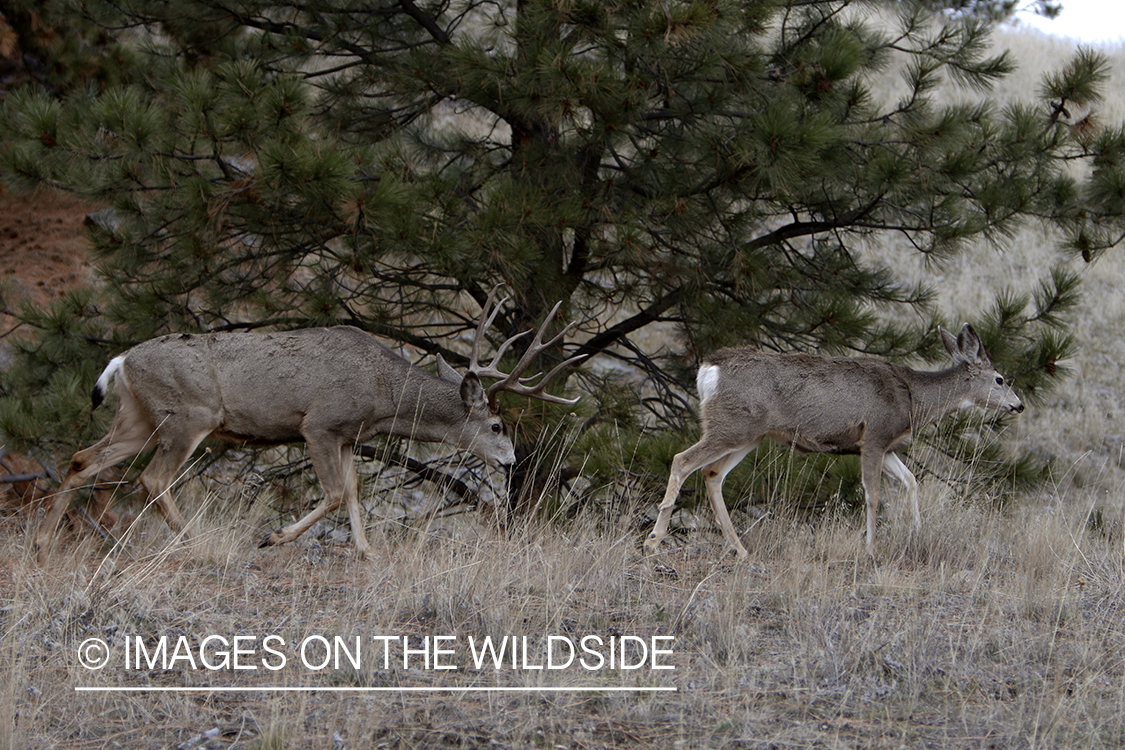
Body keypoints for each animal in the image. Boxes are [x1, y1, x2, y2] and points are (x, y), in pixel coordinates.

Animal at [35, 292, 585, 562]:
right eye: (495, 425)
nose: (510, 461)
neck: (383, 393)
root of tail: (123, 359)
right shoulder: (319, 423)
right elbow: (337, 493)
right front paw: (274, 538)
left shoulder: (347, 436)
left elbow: (354, 490)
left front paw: (367, 550)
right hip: (189, 415)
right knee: (152, 479)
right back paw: (196, 542)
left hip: (139, 416)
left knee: (82, 460)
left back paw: (44, 542)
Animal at [648, 326, 1026, 559]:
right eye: (1000, 379)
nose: (1019, 405)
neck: (911, 398)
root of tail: (708, 369)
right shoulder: (874, 436)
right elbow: (873, 494)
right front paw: (871, 548)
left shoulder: (885, 445)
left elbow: (911, 481)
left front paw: (917, 534)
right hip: (731, 426)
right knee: (682, 460)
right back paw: (655, 539)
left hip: (749, 435)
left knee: (712, 474)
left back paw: (739, 549)